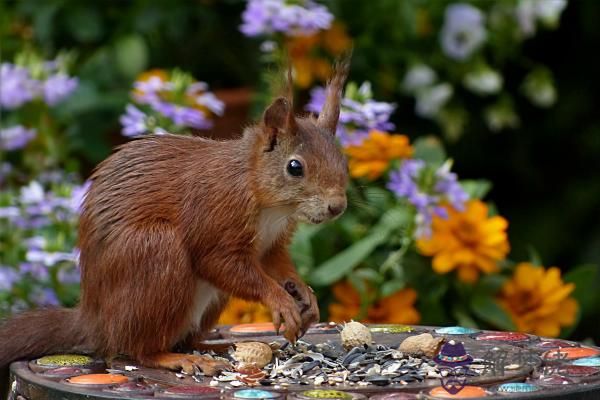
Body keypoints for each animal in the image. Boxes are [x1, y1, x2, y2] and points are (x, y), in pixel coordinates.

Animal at [0, 58, 350, 376]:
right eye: (295, 167)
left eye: (343, 159)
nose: (337, 207)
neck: (271, 204)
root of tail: (95, 321)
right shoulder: (215, 213)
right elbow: (221, 263)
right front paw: (280, 300)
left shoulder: (272, 241)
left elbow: (275, 263)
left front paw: (303, 293)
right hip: (155, 252)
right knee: (139, 349)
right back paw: (178, 359)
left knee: (185, 339)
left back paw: (221, 347)